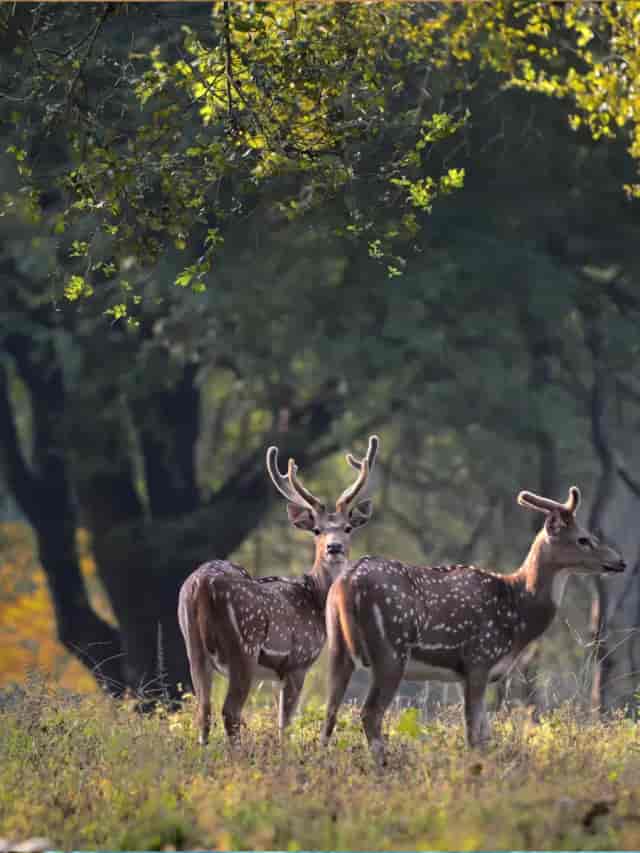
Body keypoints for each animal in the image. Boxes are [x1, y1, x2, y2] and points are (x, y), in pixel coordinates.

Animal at [175, 436, 378, 744]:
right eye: (317, 530)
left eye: (347, 528)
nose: (334, 548)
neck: (315, 598)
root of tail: (201, 587)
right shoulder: (298, 662)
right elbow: (285, 724)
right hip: (244, 648)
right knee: (230, 711)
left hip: (193, 648)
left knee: (204, 710)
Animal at [320, 482, 624, 768]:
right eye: (584, 539)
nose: (619, 561)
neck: (518, 612)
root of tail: (346, 583)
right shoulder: (480, 658)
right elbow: (474, 735)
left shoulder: (467, 672)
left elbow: (485, 734)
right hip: (391, 650)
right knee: (370, 713)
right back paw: (383, 766)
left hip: (337, 646)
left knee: (330, 710)